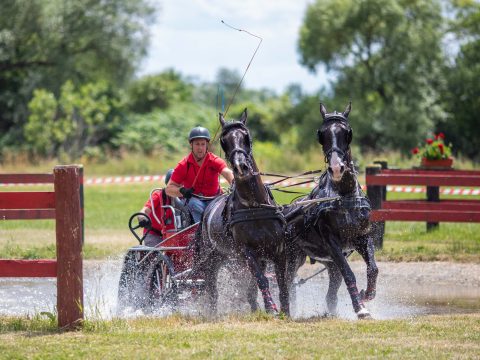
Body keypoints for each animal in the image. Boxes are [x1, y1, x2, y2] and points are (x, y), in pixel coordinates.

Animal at [198, 109, 304, 316]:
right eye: (224, 140)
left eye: (247, 137)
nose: (241, 167)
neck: (254, 207)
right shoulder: (248, 252)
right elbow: (261, 280)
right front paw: (271, 308)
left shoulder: (278, 249)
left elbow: (281, 282)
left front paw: (285, 311)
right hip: (214, 256)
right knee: (212, 285)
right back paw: (213, 311)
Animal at [294, 102, 376, 320]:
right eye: (321, 134)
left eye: (348, 133)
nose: (337, 168)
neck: (344, 196)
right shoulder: (332, 243)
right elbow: (349, 273)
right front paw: (360, 308)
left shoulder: (362, 237)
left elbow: (373, 268)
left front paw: (367, 295)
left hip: (330, 264)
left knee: (331, 290)